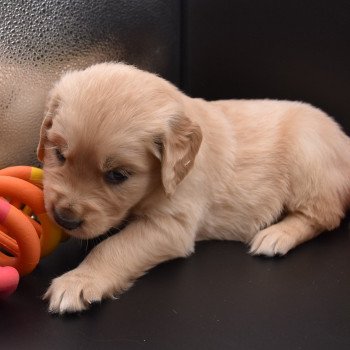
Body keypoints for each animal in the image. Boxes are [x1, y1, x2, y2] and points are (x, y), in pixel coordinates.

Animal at [37, 61, 350, 314]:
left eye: (117, 175)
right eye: (59, 154)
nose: (64, 218)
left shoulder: (172, 226)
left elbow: (114, 247)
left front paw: (78, 280)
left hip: (307, 156)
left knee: (325, 215)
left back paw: (276, 236)